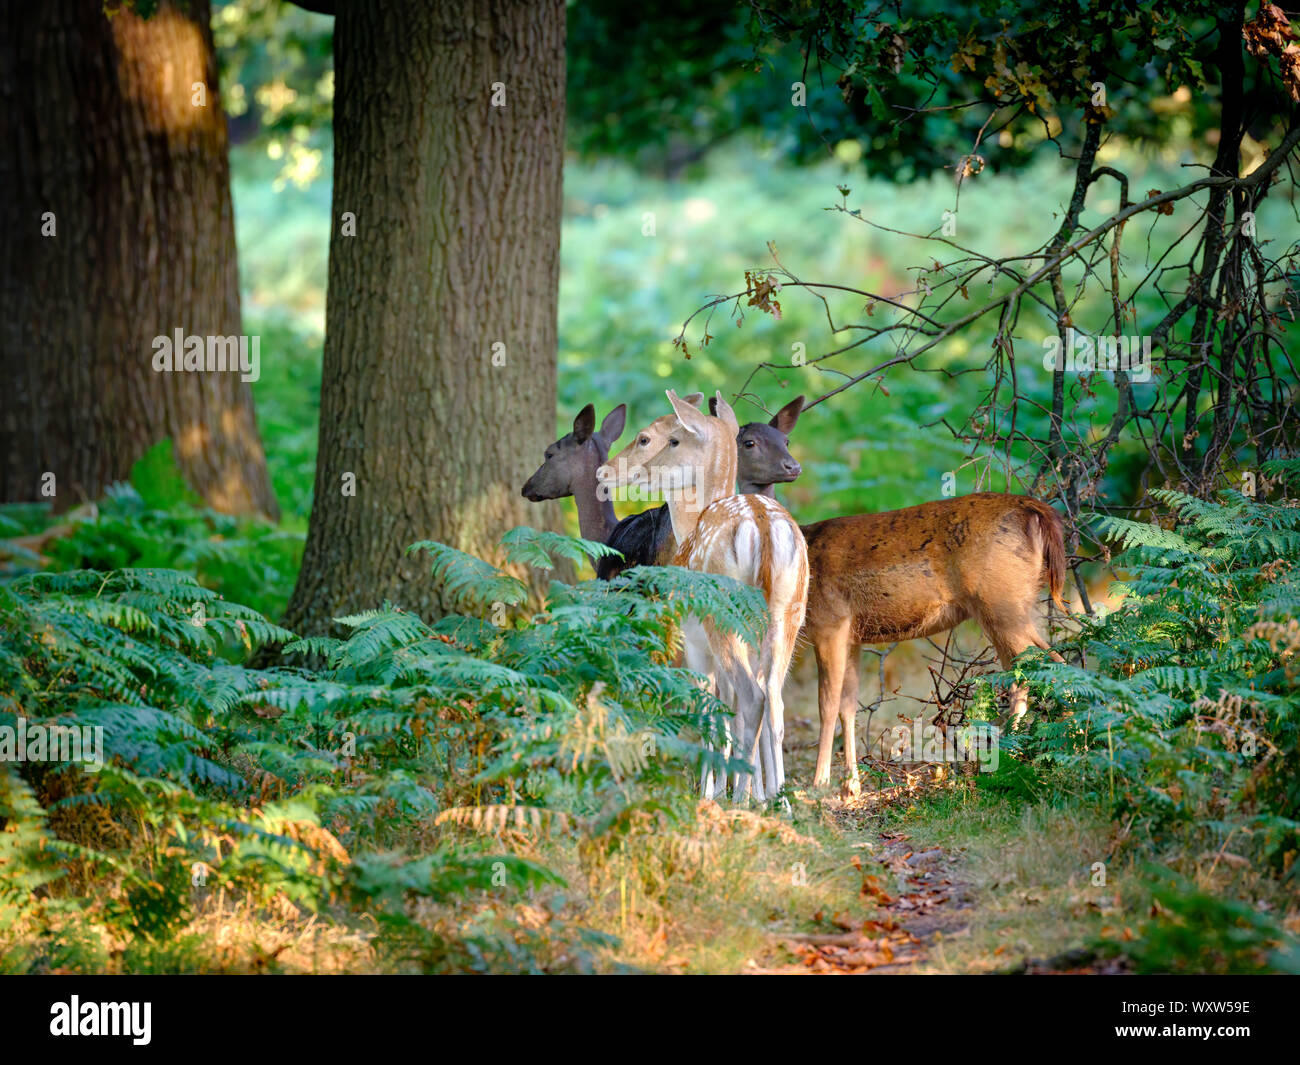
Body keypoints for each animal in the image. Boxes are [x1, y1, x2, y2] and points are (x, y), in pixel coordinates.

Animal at [597, 391, 809, 803]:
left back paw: (741, 800)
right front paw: (750, 791)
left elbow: (712, 711)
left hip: (722, 616)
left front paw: (710, 792)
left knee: (752, 697)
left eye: (657, 439)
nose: (604, 471)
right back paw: (781, 801)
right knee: (774, 700)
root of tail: (760, 523)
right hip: (789, 614)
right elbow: (728, 710)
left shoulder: (693, 641)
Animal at [801, 493, 1067, 795]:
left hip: (1001, 602)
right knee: (1044, 668)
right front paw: (851, 789)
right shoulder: (852, 637)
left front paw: (819, 785)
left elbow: (827, 705)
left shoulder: (829, 622)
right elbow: (848, 706)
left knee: (1038, 671)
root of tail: (1035, 509)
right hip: (1014, 606)